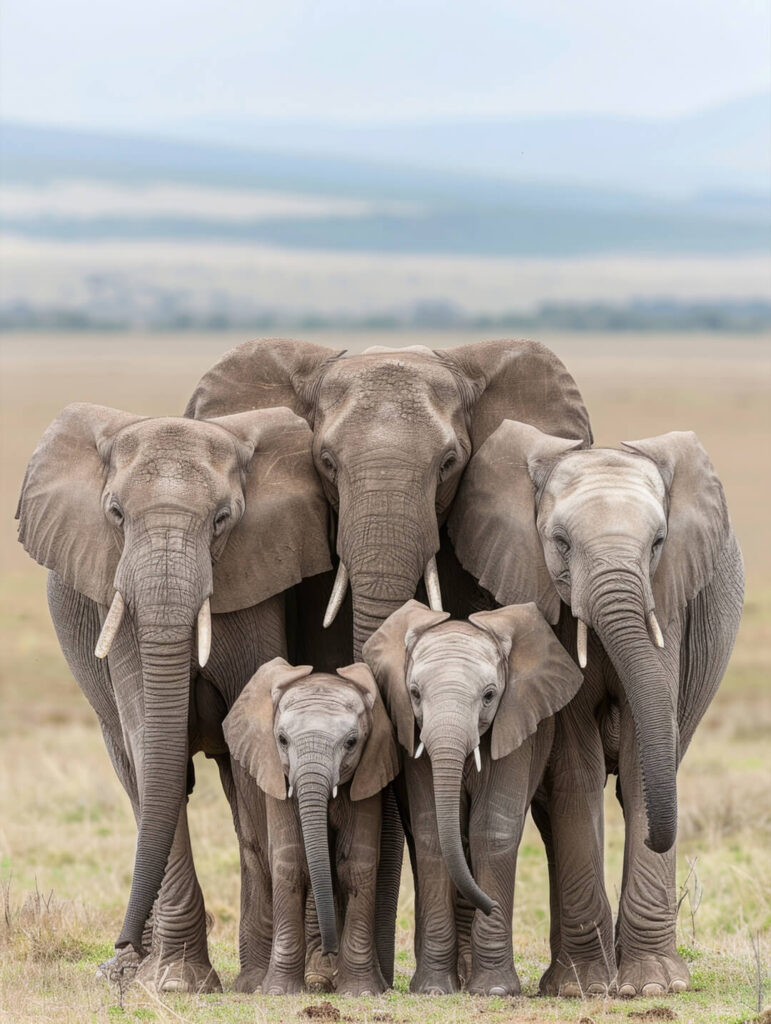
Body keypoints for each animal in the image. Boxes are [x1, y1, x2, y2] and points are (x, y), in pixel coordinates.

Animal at [16, 403, 332, 991]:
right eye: (116, 514)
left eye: (223, 519)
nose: (121, 939)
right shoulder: (116, 601)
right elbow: (149, 742)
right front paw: (178, 982)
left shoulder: (258, 586)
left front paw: (254, 983)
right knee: (135, 779)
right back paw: (132, 970)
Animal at [222, 657, 399, 995]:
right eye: (281, 740)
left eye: (352, 742)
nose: (330, 950)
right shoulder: (276, 775)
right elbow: (290, 861)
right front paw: (278, 992)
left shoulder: (370, 772)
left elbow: (356, 864)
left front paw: (360, 991)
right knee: (256, 857)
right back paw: (254, 983)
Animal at [363, 599, 583, 996]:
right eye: (414, 694)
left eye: (489, 695)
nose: (490, 905)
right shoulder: (413, 734)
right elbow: (432, 831)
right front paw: (433, 990)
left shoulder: (516, 725)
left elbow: (492, 829)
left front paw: (494, 990)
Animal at [447, 421, 744, 997]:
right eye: (560, 544)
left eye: (658, 543)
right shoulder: (551, 613)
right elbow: (576, 767)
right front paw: (584, 987)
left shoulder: (666, 607)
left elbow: (640, 764)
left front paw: (652, 986)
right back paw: (565, 977)